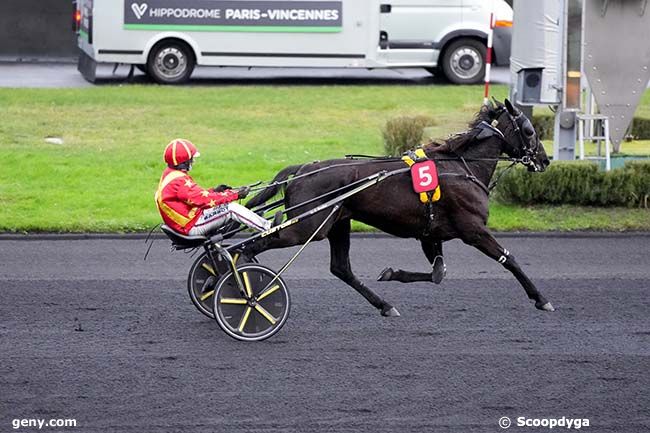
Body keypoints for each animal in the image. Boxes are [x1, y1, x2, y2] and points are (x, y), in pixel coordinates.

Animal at [243, 100, 552, 318]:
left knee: (341, 268)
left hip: (337, 223)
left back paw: (385, 305)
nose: (545, 160)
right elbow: (509, 259)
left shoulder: (431, 233)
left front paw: (391, 273)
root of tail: (303, 168)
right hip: (306, 227)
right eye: (529, 130)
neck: (462, 167)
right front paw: (541, 299)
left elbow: (438, 273)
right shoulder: (473, 230)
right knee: (255, 244)